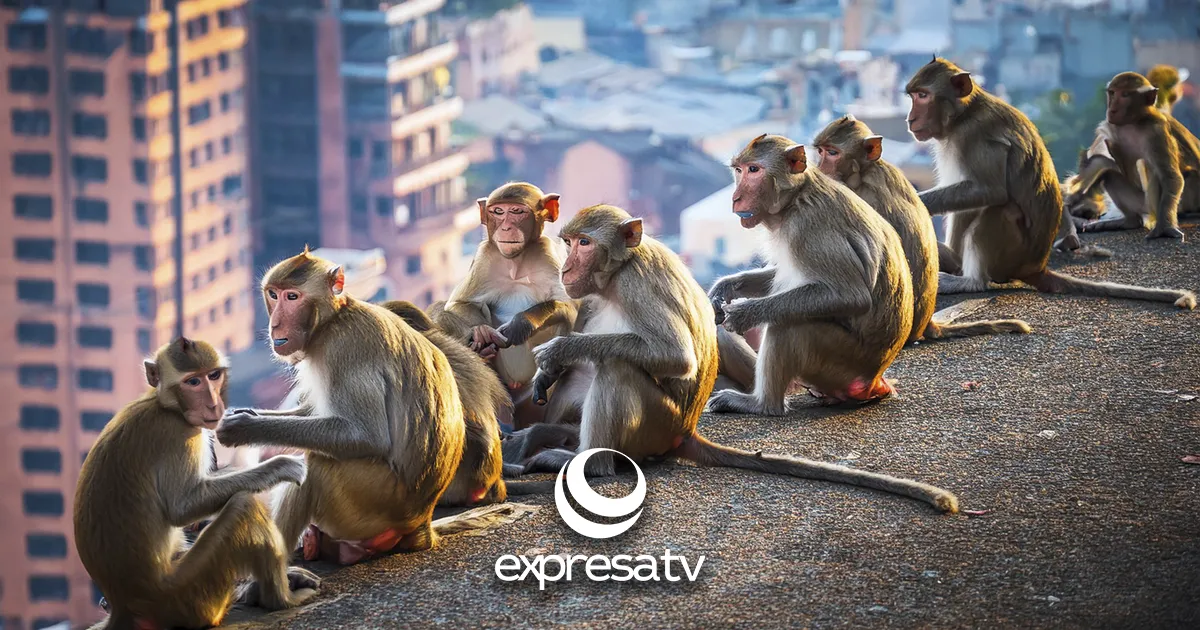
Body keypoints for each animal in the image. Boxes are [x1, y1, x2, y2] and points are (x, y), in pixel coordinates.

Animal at [75, 337, 318, 630]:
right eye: (192, 382)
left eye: (213, 376)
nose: (213, 405)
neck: (164, 405)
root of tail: (126, 605)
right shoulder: (179, 434)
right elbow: (183, 507)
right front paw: (281, 466)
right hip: (188, 596)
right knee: (243, 507)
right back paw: (279, 599)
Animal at [433, 182, 578, 429]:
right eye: (498, 212)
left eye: (517, 211)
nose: (506, 227)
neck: (516, 264)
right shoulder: (485, 256)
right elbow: (459, 303)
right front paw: (482, 335)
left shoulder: (548, 254)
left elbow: (571, 308)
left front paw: (520, 325)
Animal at [505, 203, 958, 514]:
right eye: (568, 243)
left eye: (585, 243)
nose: (566, 268)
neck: (615, 276)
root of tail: (685, 432)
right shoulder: (587, 297)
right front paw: (548, 372)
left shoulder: (635, 284)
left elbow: (674, 356)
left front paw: (559, 350)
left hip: (655, 425)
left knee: (616, 368)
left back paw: (589, 463)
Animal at [813, 114, 1033, 343]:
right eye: (821, 151)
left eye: (832, 153)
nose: (820, 166)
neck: (866, 172)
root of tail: (926, 325)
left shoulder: (861, 196)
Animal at [1071, 71, 1200, 238]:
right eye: (1112, 93)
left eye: (1125, 95)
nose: (1112, 109)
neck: (1134, 122)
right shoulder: (1114, 127)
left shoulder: (1156, 132)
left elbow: (1170, 177)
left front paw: (1165, 227)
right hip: (1141, 203)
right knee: (1110, 175)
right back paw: (1130, 221)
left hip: (1177, 202)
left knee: (1154, 170)